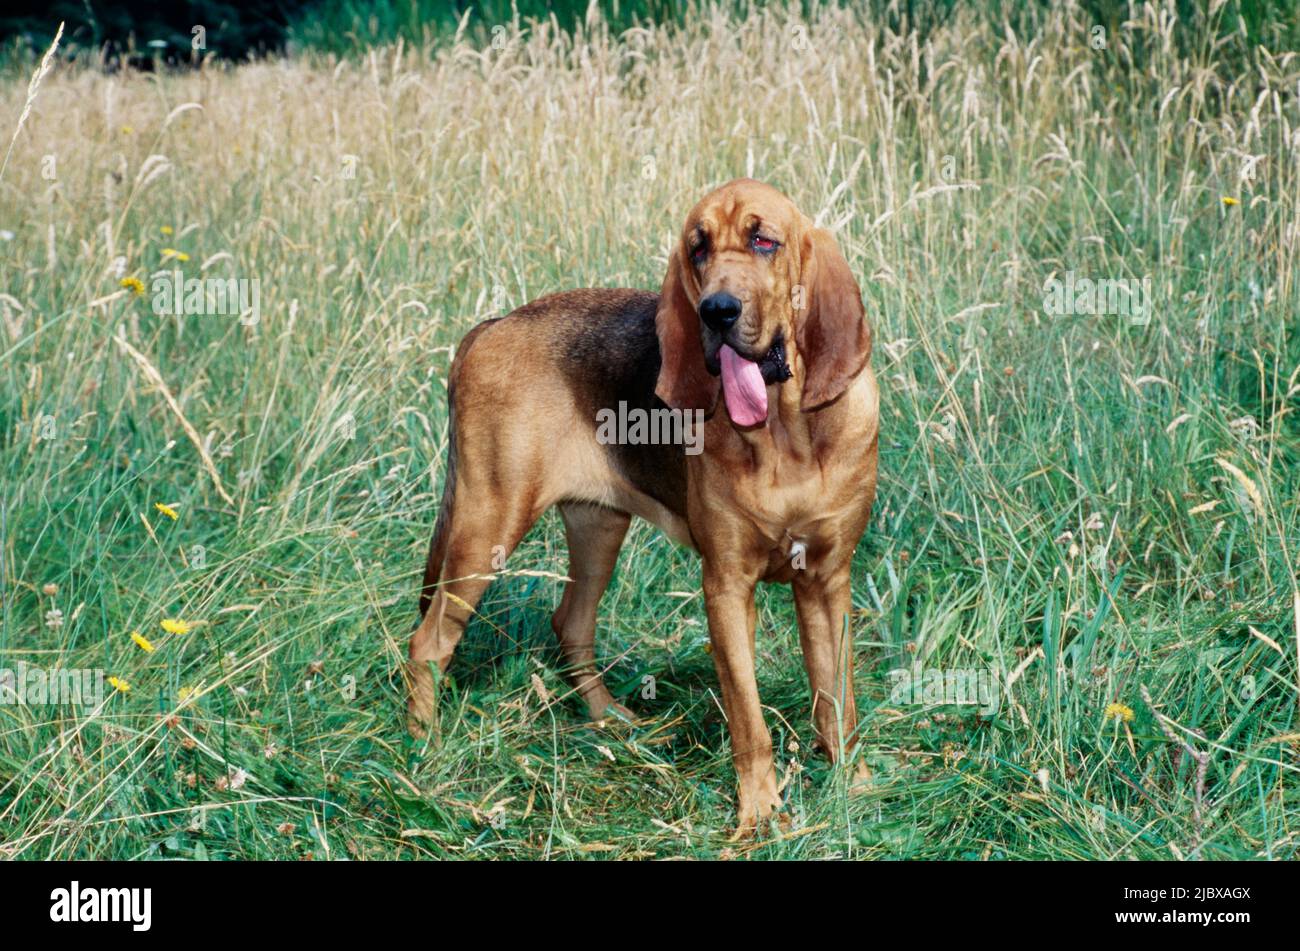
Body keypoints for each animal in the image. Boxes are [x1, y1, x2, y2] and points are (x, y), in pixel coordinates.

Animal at [405, 177, 878, 831]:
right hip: (486, 531)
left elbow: (837, 698)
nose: (717, 312)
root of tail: (492, 326)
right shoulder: (726, 586)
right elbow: (749, 719)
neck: (789, 439)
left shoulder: (828, 581)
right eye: (697, 248)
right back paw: (423, 752)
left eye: (764, 241)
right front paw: (760, 813)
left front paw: (852, 786)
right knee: (427, 644)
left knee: (570, 623)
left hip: (598, 528)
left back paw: (611, 721)